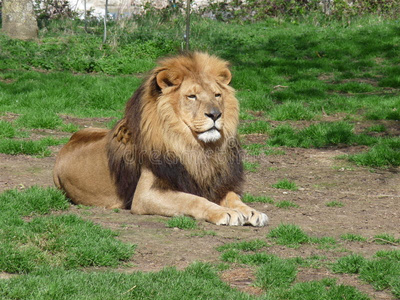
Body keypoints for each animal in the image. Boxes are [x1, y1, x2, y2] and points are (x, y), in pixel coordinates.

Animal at [54, 52, 268, 225]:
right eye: (192, 96)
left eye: (217, 95)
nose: (216, 114)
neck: (196, 148)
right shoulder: (144, 195)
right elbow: (192, 199)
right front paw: (225, 212)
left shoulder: (213, 183)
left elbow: (234, 197)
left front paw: (252, 212)